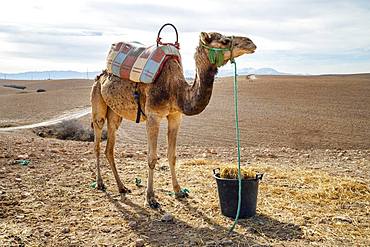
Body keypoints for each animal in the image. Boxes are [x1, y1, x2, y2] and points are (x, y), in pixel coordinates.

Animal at [90, 31, 258, 208]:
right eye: (224, 41)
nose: (250, 42)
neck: (176, 91)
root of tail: (101, 75)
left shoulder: (176, 116)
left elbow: (172, 156)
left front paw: (178, 191)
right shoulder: (153, 116)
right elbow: (152, 158)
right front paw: (150, 198)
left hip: (115, 113)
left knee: (110, 147)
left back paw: (122, 187)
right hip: (97, 100)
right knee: (97, 142)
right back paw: (100, 183)